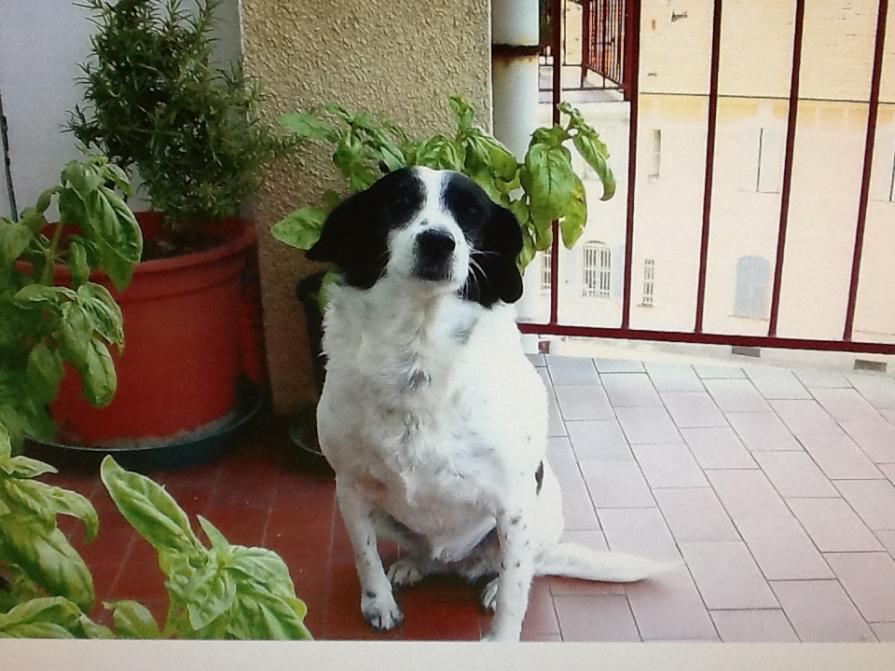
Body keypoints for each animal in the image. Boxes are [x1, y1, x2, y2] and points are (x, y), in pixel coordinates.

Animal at [312, 167, 668, 640]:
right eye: (398, 202)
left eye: (471, 212)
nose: (438, 242)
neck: (419, 352)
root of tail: (459, 559)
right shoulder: (349, 488)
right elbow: (364, 555)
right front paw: (379, 603)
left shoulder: (513, 505)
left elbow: (516, 593)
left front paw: (502, 635)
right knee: (428, 554)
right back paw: (414, 564)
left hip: (540, 508)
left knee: (526, 566)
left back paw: (494, 585)